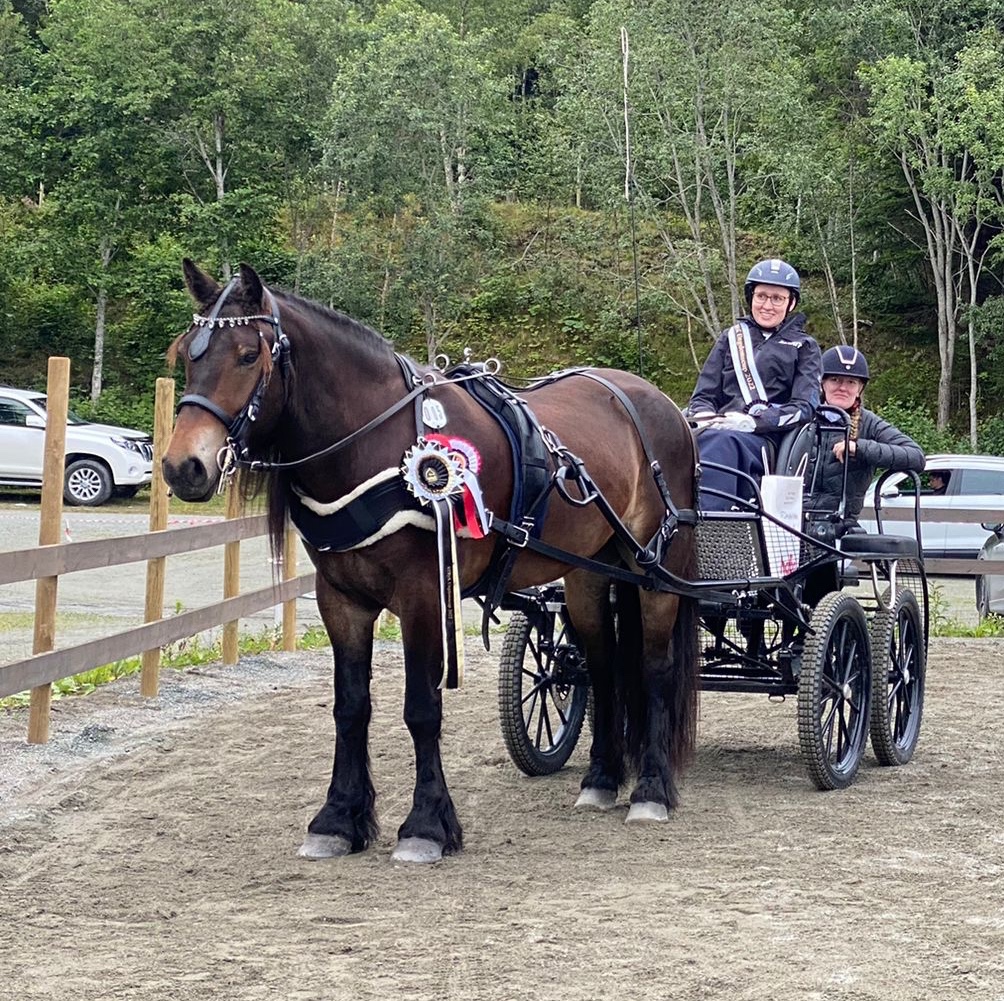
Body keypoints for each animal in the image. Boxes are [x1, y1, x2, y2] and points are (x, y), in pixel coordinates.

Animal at [162, 260, 700, 864]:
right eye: (187, 354)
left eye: (248, 354)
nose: (184, 466)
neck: (373, 441)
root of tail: (658, 403)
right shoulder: (340, 599)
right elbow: (351, 708)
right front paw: (338, 819)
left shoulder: (422, 595)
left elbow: (421, 708)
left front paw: (425, 826)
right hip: (589, 573)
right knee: (603, 664)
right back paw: (602, 780)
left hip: (656, 571)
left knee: (653, 668)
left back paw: (651, 789)